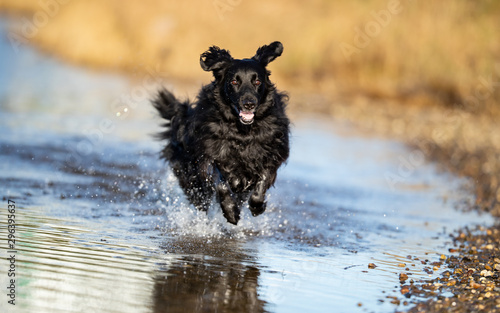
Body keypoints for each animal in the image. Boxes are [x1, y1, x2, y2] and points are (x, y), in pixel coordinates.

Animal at [152, 41, 290, 224]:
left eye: (257, 81)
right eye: (234, 81)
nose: (249, 104)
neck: (242, 132)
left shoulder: (271, 153)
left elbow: (262, 181)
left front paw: (257, 206)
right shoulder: (210, 156)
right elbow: (220, 183)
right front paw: (230, 211)